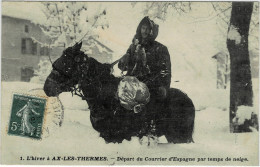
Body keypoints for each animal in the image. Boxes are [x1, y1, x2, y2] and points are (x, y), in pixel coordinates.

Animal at [44, 42, 195, 144]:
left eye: (66, 65)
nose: (47, 87)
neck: (107, 97)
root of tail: (188, 99)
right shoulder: (105, 135)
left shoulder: (117, 137)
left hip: (179, 137)